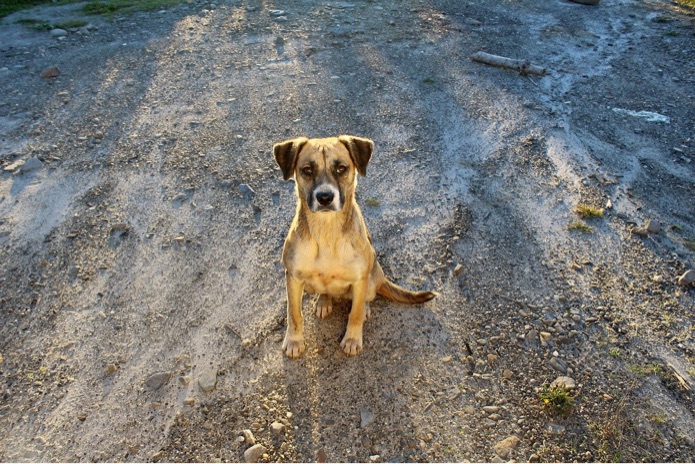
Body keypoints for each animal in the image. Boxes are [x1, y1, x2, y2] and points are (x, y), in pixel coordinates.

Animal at [272, 135, 436, 358]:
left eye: (341, 168)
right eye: (307, 170)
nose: (325, 197)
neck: (327, 231)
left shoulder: (359, 279)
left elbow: (355, 313)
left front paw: (351, 339)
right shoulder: (293, 278)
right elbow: (294, 314)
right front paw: (294, 341)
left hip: (372, 277)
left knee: (365, 298)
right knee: (324, 291)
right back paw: (324, 301)